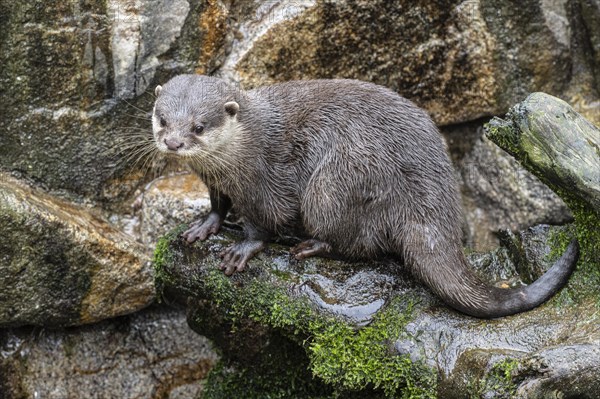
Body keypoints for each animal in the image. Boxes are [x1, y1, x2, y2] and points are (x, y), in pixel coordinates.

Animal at [152, 75, 580, 318]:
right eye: (162, 118)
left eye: (199, 126)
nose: (173, 142)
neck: (242, 149)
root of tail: (433, 202)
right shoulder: (216, 182)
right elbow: (217, 205)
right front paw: (204, 226)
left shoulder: (264, 181)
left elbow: (264, 222)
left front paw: (242, 249)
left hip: (339, 181)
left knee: (358, 243)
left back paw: (310, 246)